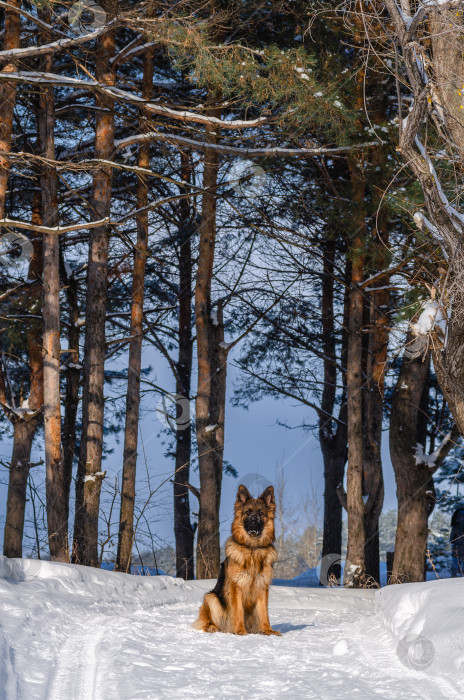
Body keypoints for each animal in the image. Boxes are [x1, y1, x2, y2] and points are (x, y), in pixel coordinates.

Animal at [191, 484, 280, 636]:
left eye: (260, 513)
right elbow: (238, 611)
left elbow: (264, 613)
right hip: (212, 598)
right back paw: (213, 628)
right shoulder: (236, 587)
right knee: (208, 622)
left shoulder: (262, 587)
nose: (253, 521)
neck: (252, 549)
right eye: (248, 512)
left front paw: (268, 630)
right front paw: (239, 631)